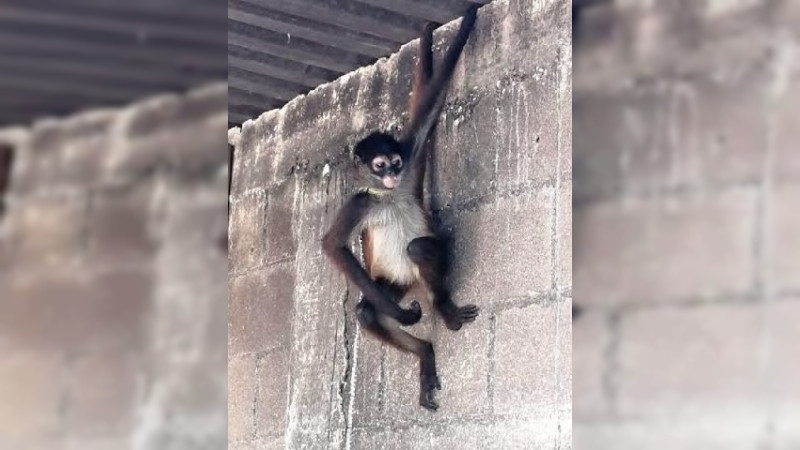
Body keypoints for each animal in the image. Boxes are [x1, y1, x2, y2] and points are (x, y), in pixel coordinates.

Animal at [323, 6, 479, 412]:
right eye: (379, 166)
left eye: (394, 162)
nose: (392, 174)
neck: (389, 194)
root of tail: (412, 281)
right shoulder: (359, 200)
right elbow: (333, 245)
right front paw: (399, 316)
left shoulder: (411, 156)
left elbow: (431, 100)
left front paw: (467, 19)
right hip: (392, 282)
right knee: (366, 311)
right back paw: (423, 349)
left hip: (419, 268)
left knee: (420, 247)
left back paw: (444, 309)